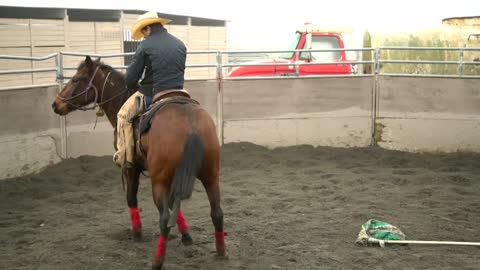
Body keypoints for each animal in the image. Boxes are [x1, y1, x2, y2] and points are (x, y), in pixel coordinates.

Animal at [50, 56, 227, 268]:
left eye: (76, 79)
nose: (55, 104)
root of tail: (190, 123)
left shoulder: (132, 167)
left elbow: (131, 198)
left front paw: (137, 233)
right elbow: (175, 206)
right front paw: (186, 236)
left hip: (159, 181)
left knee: (164, 220)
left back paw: (157, 261)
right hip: (211, 177)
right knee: (217, 213)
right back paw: (221, 252)